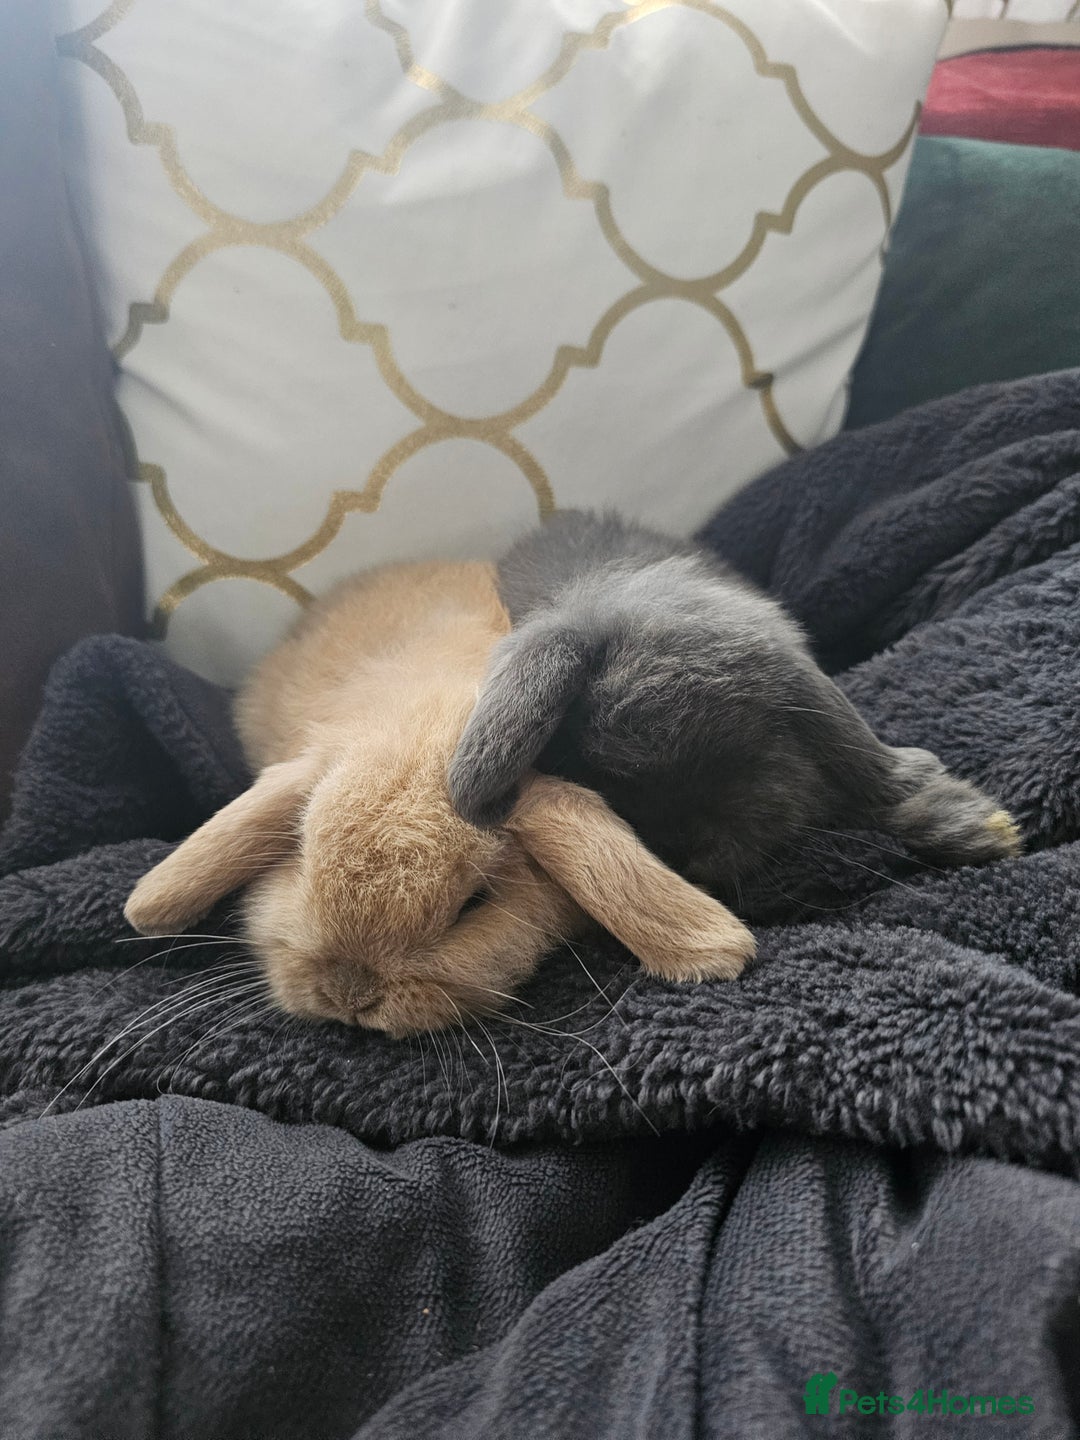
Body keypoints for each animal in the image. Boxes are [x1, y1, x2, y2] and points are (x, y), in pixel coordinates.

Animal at [448, 511, 1021, 909]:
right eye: (597, 779)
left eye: (737, 750)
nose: (687, 856)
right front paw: (983, 825)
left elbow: (872, 779)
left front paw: (977, 826)